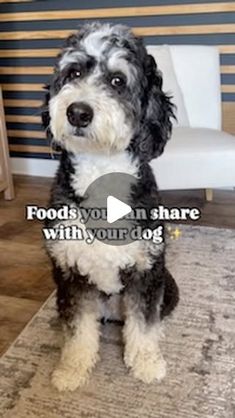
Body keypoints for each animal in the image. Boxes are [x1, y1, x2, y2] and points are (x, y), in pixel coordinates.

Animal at [41, 22, 178, 392]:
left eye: (117, 80)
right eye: (73, 73)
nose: (78, 111)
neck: (100, 175)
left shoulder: (147, 271)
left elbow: (144, 323)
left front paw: (146, 363)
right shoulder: (70, 275)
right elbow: (78, 329)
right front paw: (72, 370)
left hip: (167, 286)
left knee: (153, 316)